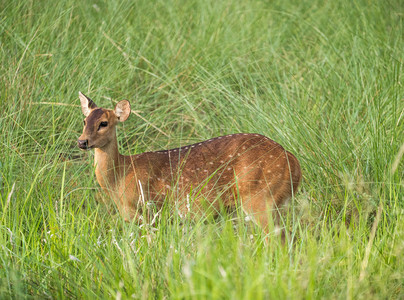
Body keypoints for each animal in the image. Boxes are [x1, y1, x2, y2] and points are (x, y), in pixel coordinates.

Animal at [77, 92, 302, 238]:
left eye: (104, 123)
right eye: (85, 121)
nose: (82, 142)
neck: (120, 176)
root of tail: (293, 162)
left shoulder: (149, 211)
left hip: (260, 197)